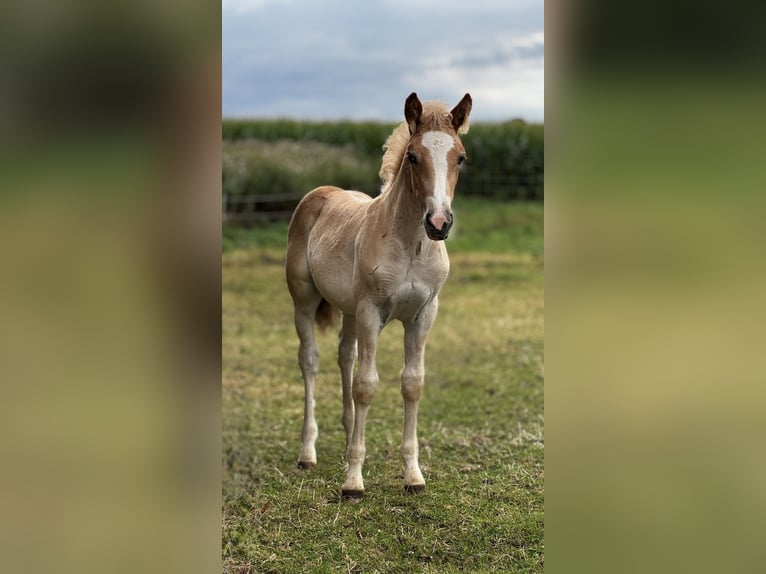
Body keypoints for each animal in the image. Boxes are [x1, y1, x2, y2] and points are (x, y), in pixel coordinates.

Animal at [285, 92, 472, 498]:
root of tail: (321, 193)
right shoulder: (372, 311)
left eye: (461, 157)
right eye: (413, 156)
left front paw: (413, 475)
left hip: (349, 310)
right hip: (304, 300)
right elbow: (367, 386)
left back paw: (346, 435)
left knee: (345, 356)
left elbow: (412, 383)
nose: (439, 223)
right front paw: (353, 481)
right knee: (310, 360)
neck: (409, 245)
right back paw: (307, 453)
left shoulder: (423, 314)